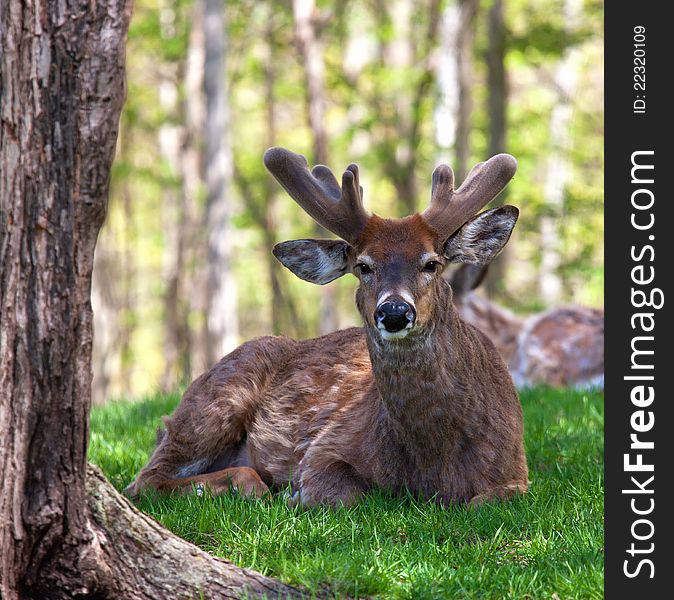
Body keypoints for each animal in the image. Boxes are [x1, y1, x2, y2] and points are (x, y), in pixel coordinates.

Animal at [123, 148, 528, 508]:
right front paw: (295, 495)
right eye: (363, 265)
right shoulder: (324, 445)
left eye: (432, 263)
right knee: (146, 480)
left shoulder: (517, 472)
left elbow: (486, 502)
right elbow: (345, 495)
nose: (395, 311)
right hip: (215, 400)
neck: (434, 459)